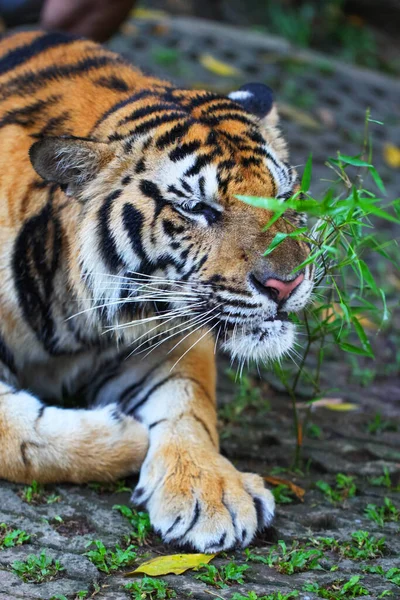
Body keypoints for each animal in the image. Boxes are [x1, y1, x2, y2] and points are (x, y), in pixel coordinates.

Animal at [0, 30, 314, 552]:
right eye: (197, 207)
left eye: (283, 197)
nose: (286, 283)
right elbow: (18, 439)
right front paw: (127, 435)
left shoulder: (164, 338)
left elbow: (189, 403)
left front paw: (211, 492)